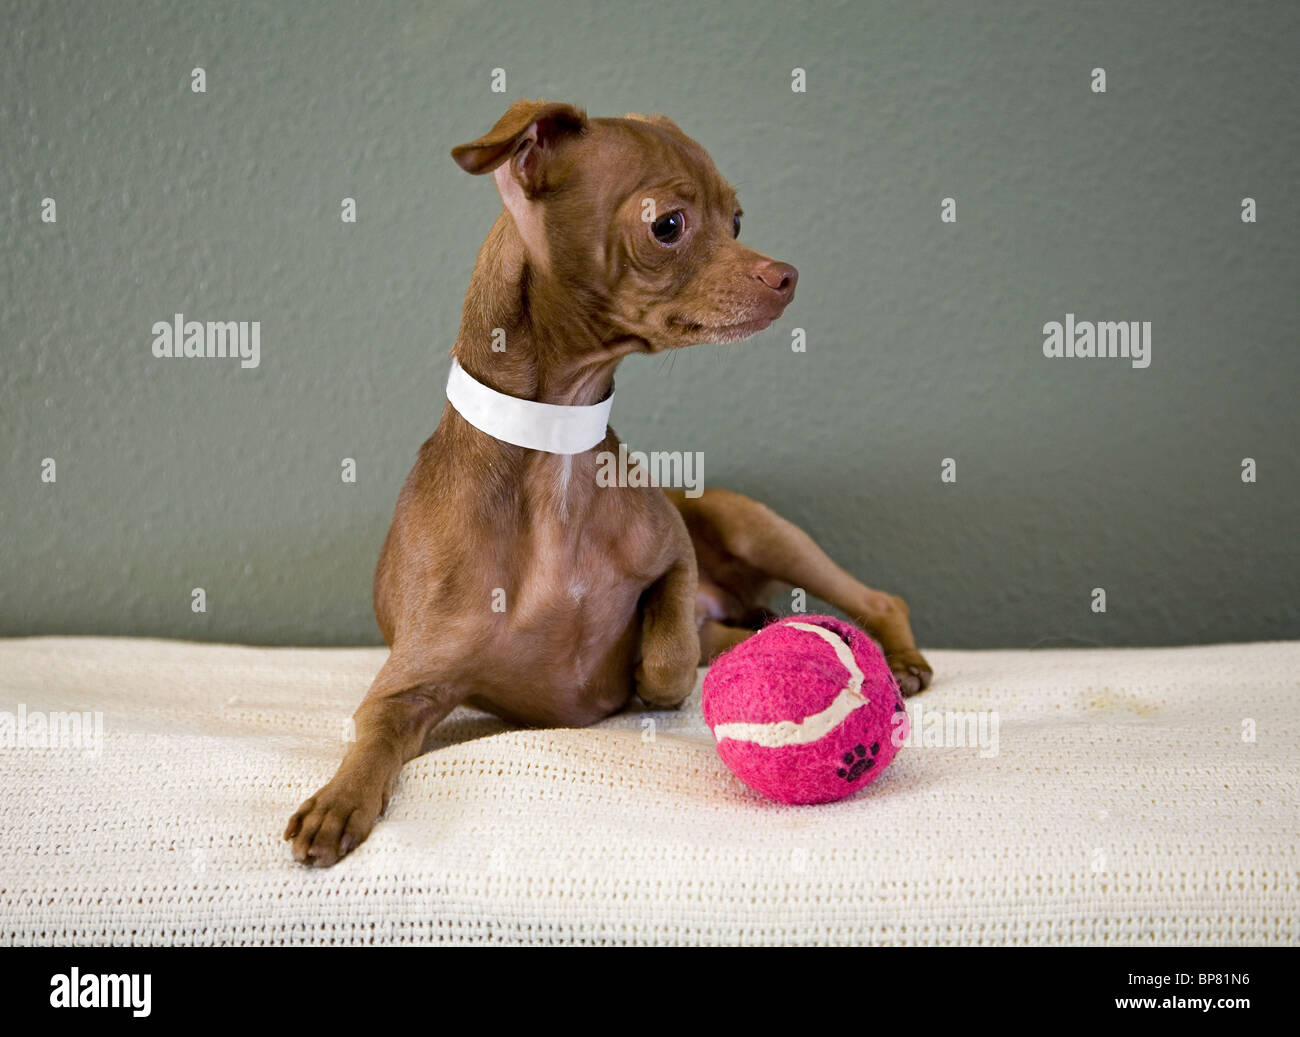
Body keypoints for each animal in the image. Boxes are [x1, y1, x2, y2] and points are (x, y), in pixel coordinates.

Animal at [287, 103, 935, 868]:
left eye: (737, 219)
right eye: (669, 225)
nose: (789, 276)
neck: (554, 459)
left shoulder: (674, 555)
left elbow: (666, 653)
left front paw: (664, 670)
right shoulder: (407, 686)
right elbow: (373, 737)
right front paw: (339, 800)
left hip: (759, 529)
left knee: (873, 599)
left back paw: (891, 656)